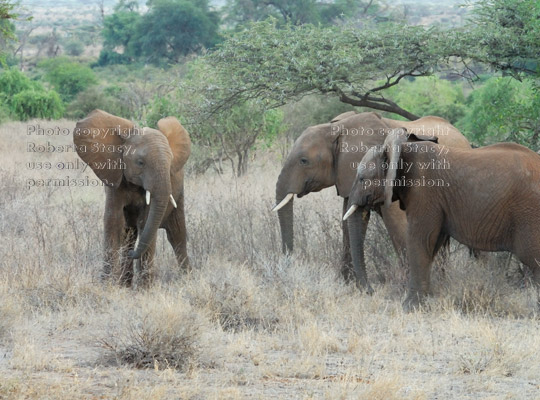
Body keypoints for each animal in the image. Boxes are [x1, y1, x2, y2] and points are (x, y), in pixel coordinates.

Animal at [73, 108, 192, 286]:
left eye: (170, 163)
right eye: (140, 162)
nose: (131, 254)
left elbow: (146, 223)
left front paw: (144, 289)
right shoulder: (115, 177)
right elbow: (114, 222)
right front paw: (107, 284)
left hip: (179, 195)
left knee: (176, 235)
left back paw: (188, 278)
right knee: (130, 234)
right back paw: (126, 284)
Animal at [272, 111, 470, 292]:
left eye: (304, 161)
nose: (370, 290)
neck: (337, 128)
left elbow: (397, 225)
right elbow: (349, 221)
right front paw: (348, 284)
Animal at [346, 128, 540, 310]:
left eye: (362, 179)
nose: (371, 291)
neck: (401, 149)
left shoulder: (424, 192)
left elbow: (419, 240)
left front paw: (408, 307)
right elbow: (432, 245)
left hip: (529, 214)